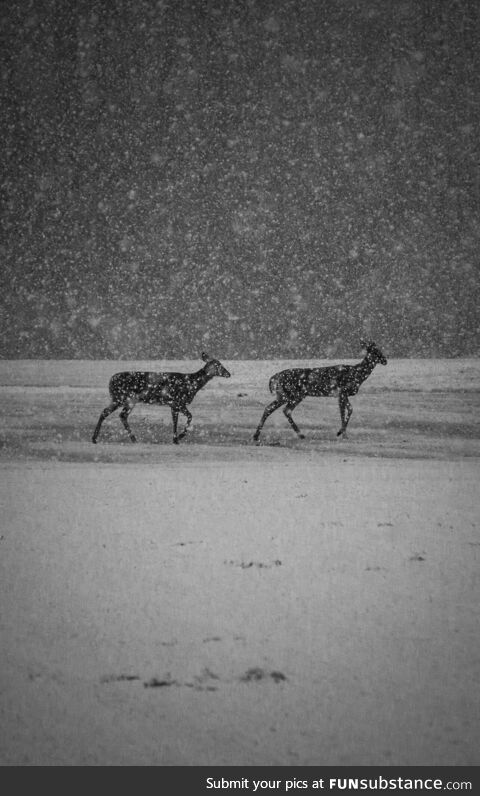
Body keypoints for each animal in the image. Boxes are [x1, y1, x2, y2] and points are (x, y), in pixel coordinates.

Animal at [93, 352, 232, 444]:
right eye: (218, 364)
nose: (228, 374)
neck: (192, 384)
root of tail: (110, 381)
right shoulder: (177, 401)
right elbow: (183, 419)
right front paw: (178, 438)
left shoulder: (175, 404)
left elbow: (183, 418)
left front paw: (176, 438)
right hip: (127, 398)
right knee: (121, 415)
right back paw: (133, 438)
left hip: (119, 399)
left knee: (107, 412)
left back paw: (95, 438)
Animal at [253, 340, 388, 444]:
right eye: (375, 351)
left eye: (380, 349)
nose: (385, 360)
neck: (357, 374)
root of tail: (274, 377)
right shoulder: (342, 391)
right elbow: (344, 411)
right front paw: (342, 433)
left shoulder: (342, 394)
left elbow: (349, 409)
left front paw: (341, 432)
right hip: (292, 394)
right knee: (283, 410)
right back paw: (298, 434)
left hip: (287, 395)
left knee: (274, 409)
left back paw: (257, 436)